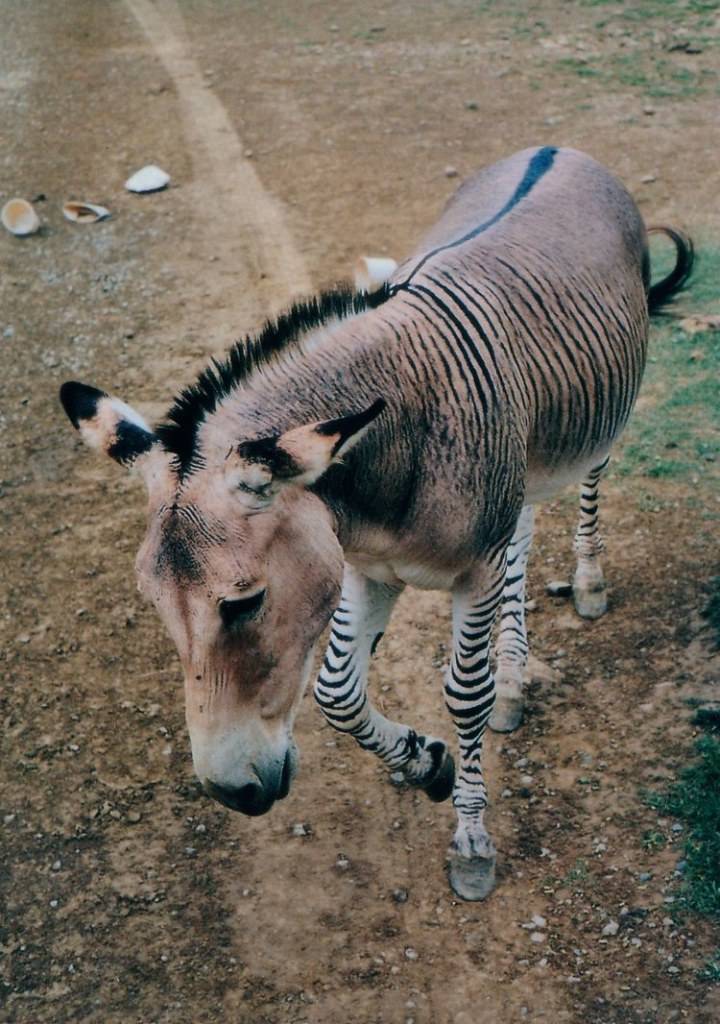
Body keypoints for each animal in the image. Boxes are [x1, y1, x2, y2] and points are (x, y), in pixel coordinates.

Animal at [59, 146, 692, 900]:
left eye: (244, 603)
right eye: (152, 604)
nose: (231, 793)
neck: (396, 447)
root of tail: (560, 151)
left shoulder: (471, 571)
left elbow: (464, 694)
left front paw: (471, 840)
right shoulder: (364, 567)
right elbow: (336, 692)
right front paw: (426, 763)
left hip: (601, 419)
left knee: (589, 485)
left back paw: (588, 584)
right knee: (524, 528)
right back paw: (514, 679)